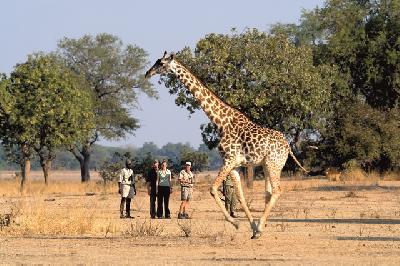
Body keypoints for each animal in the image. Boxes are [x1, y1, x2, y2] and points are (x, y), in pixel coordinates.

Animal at [145, 52, 308, 239]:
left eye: (161, 63)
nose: (148, 73)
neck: (221, 123)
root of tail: (288, 146)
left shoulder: (229, 160)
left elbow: (213, 189)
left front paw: (236, 223)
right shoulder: (235, 165)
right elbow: (240, 196)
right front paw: (251, 228)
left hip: (274, 164)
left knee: (277, 190)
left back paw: (261, 226)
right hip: (268, 165)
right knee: (269, 192)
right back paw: (260, 228)